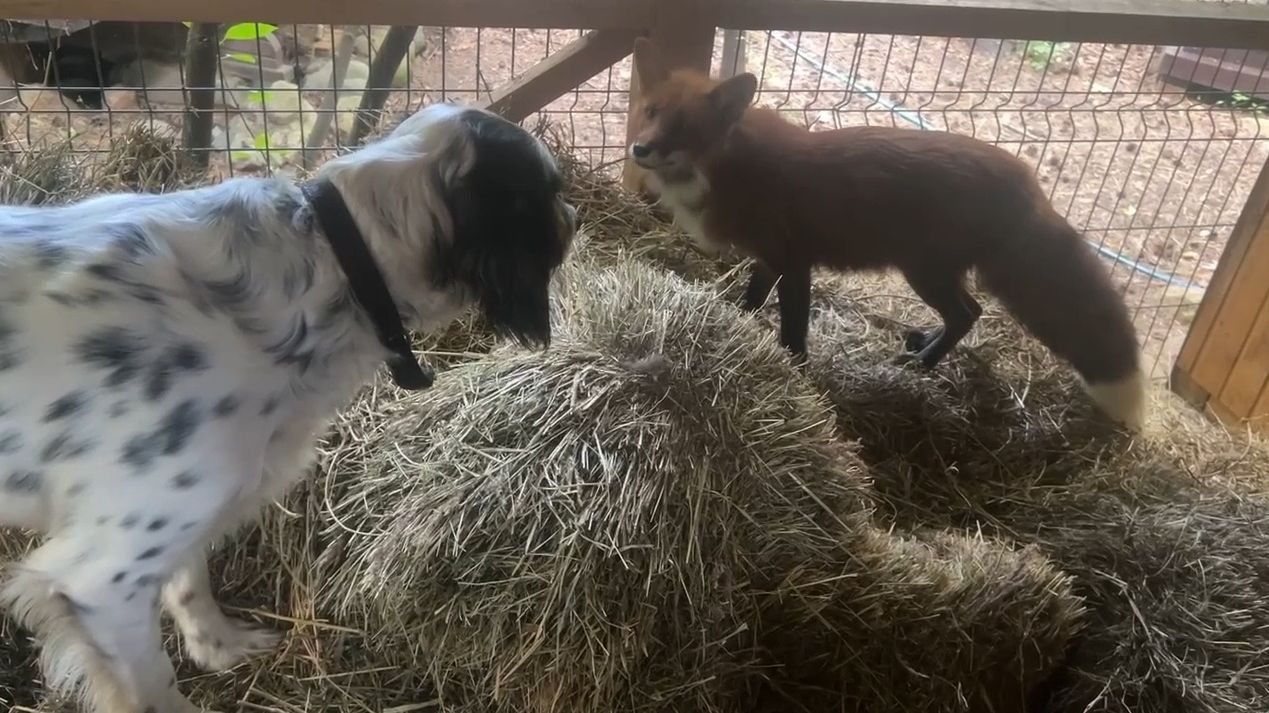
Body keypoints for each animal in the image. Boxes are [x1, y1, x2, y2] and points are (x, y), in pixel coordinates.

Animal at [625, 37, 1146, 431]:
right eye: (650, 112)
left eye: (684, 127)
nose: (640, 149)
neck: (723, 166)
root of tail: (1029, 182)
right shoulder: (767, 258)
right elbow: (751, 302)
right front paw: (734, 325)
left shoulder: (794, 261)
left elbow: (793, 330)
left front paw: (796, 373)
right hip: (933, 272)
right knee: (969, 313)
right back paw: (923, 350)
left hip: (923, 271)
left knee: (968, 314)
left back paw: (921, 366)